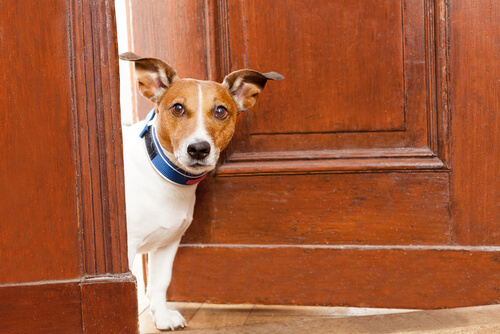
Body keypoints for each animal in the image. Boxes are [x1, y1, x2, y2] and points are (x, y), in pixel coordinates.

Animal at [117, 51, 282, 330]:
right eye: (178, 108)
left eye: (221, 111)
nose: (198, 149)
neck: (163, 176)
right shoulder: (126, 248)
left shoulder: (168, 242)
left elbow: (160, 282)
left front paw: (162, 316)